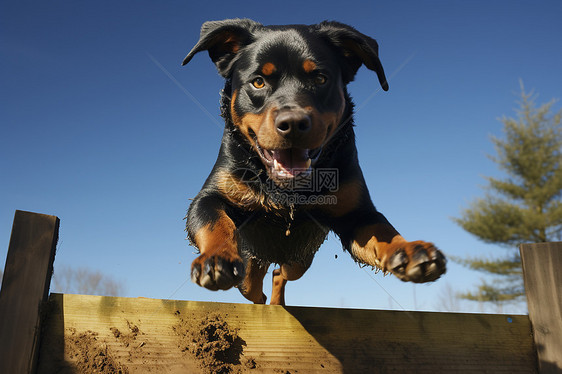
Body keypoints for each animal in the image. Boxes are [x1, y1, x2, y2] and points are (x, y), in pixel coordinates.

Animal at [182, 19, 444, 306]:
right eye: (258, 82)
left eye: (320, 79)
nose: (293, 122)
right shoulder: (210, 196)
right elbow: (213, 220)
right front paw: (217, 257)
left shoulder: (357, 214)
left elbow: (383, 230)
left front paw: (408, 251)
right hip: (252, 262)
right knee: (254, 285)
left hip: (299, 259)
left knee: (278, 273)